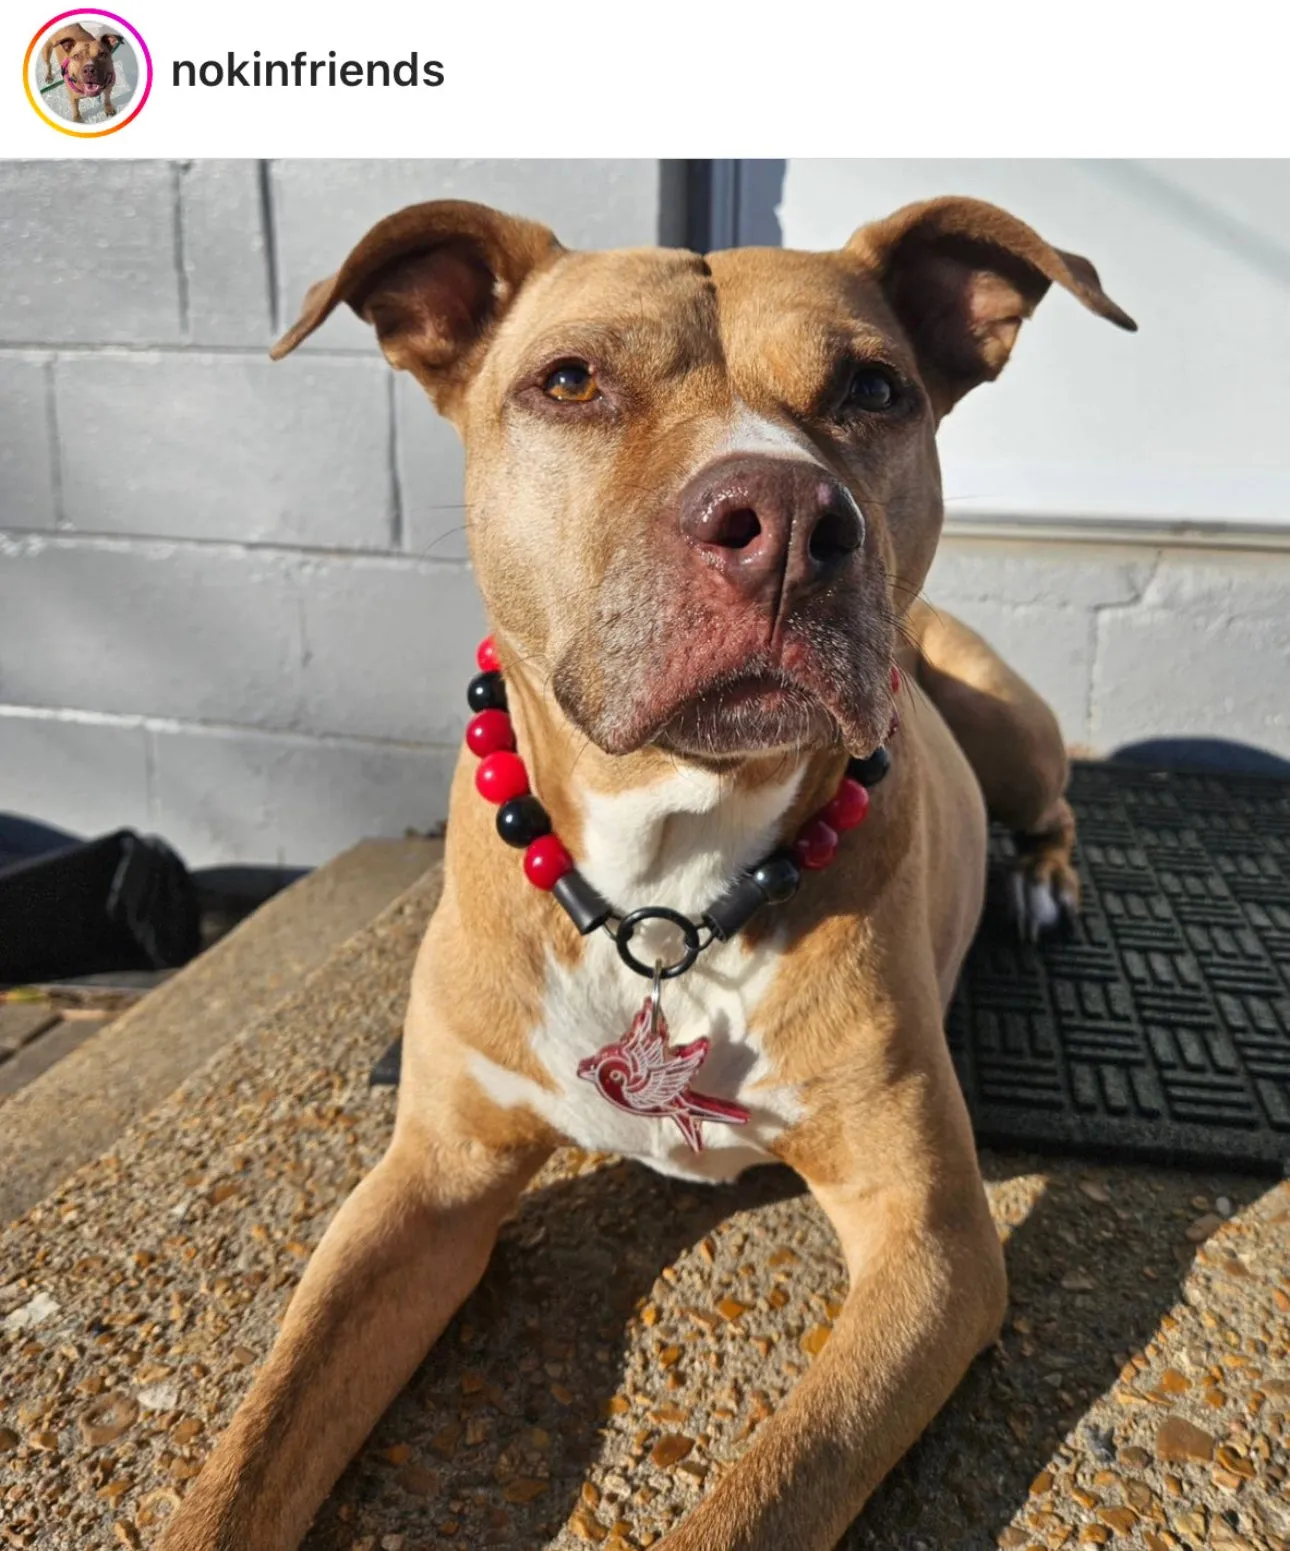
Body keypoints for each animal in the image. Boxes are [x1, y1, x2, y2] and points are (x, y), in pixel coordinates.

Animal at [156, 193, 1134, 1551]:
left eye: (875, 387)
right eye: (570, 380)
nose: (788, 522)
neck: (668, 884)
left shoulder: (932, 1244)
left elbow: (775, 1488)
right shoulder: (424, 1182)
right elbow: (262, 1438)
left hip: (1006, 714)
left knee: (1056, 801)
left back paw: (1042, 880)